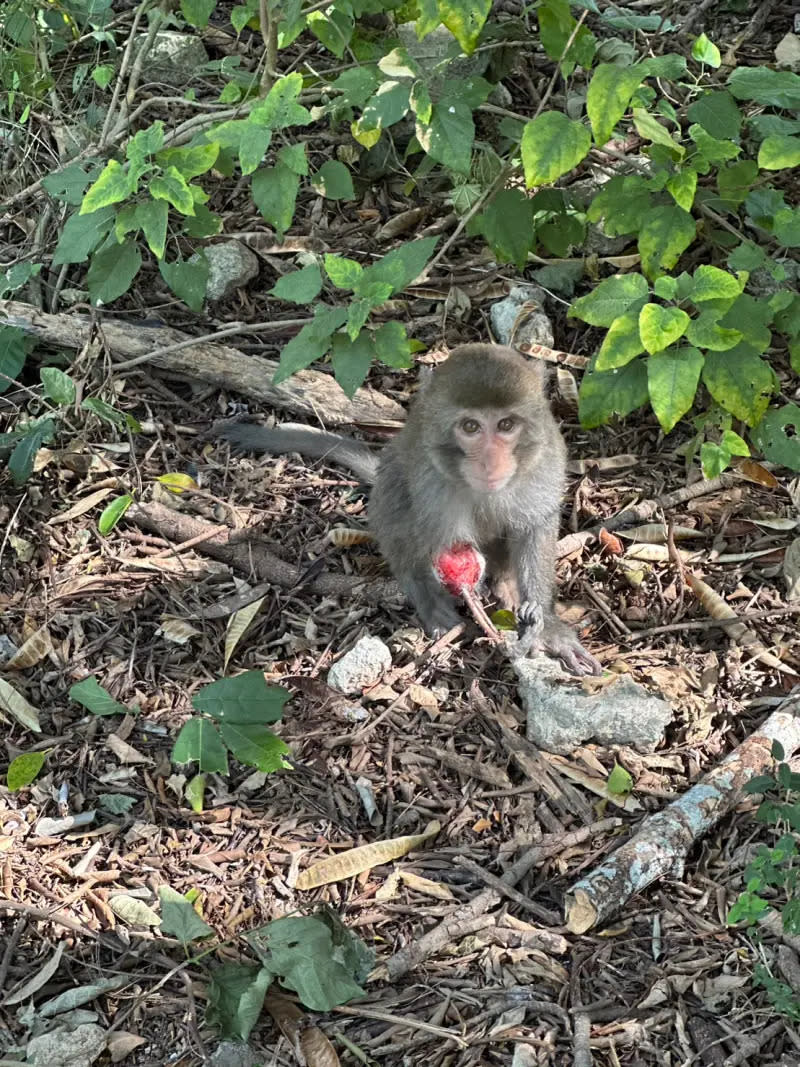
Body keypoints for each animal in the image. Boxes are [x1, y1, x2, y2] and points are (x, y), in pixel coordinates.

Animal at [214, 343, 601, 674]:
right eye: (470, 427)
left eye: (506, 425)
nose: (490, 463)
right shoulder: (429, 476)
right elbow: (445, 542)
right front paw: (458, 589)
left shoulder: (546, 462)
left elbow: (534, 528)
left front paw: (544, 623)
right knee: (396, 496)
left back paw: (506, 584)